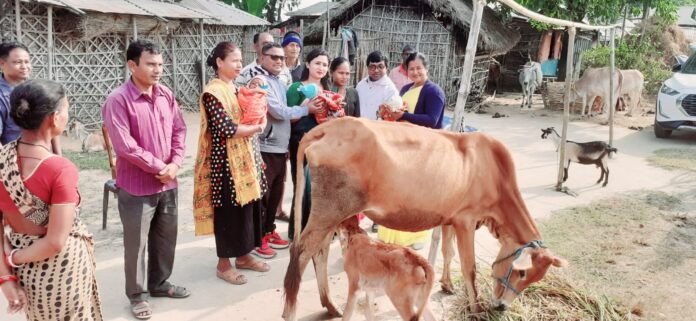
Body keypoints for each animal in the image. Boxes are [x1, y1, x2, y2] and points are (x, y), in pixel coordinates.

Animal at [282, 117, 564, 320]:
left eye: (535, 277)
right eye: (522, 272)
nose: (503, 307)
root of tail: (328, 127)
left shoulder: (450, 219)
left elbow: (448, 252)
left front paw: (447, 285)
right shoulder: (466, 221)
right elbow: (469, 268)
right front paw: (476, 309)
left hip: (332, 213)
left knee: (319, 253)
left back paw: (330, 306)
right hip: (329, 211)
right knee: (302, 252)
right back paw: (290, 311)